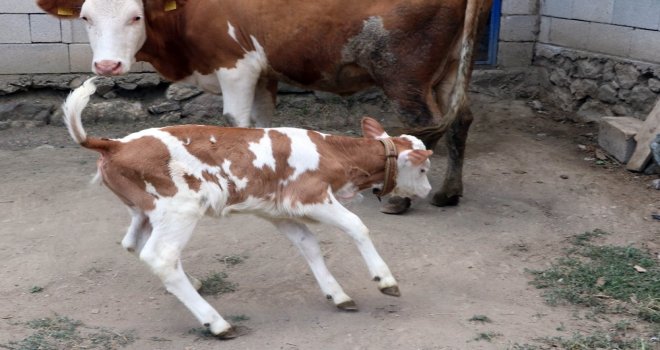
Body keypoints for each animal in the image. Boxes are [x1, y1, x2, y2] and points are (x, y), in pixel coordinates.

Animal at [36, 0, 490, 213]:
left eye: (135, 16)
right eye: (85, 17)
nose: (107, 66)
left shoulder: (235, 64)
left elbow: (236, 124)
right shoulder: (263, 72)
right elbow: (260, 127)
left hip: (402, 72)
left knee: (422, 125)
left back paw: (398, 199)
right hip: (451, 66)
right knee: (460, 119)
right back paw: (449, 192)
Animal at [62, 77, 434, 340]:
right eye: (423, 169)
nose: (429, 190)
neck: (334, 154)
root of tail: (114, 144)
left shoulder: (280, 212)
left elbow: (309, 246)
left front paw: (338, 294)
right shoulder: (309, 196)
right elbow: (357, 226)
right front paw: (385, 280)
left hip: (146, 211)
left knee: (134, 244)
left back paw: (192, 282)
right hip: (179, 209)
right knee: (160, 257)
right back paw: (217, 323)